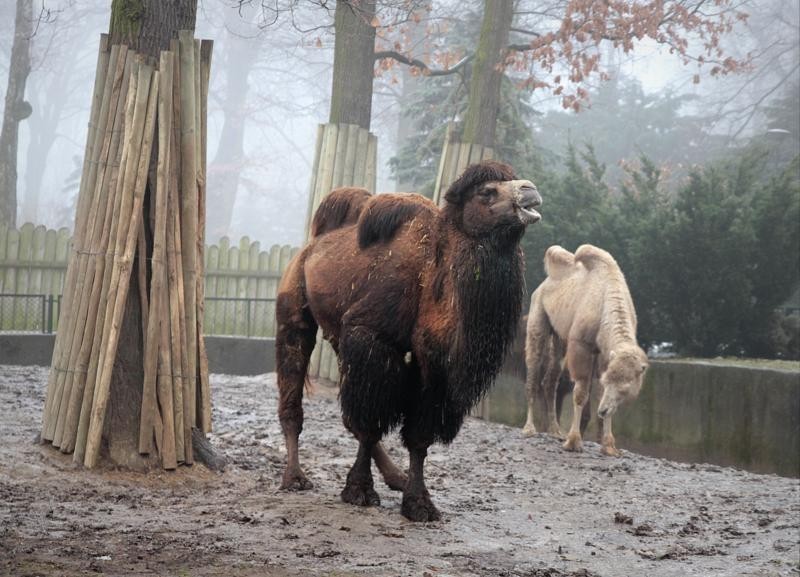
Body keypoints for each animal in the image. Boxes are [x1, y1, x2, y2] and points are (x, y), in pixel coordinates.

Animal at [276, 160, 544, 520]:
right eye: (487, 192)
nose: (530, 191)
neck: (432, 280)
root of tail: (312, 245)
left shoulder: (435, 369)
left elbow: (418, 436)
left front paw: (419, 502)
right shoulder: (370, 337)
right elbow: (370, 422)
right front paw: (359, 491)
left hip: (337, 333)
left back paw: (396, 477)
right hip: (295, 303)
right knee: (296, 382)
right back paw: (294, 477)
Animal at [520, 243, 648, 454]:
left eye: (625, 388)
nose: (603, 410)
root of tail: (543, 285)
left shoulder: (605, 354)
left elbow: (598, 393)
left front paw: (609, 446)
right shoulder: (581, 345)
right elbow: (580, 393)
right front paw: (573, 441)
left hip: (561, 339)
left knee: (550, 380)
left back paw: (555, 431)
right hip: (537, 317)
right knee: (533, 368)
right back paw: (529, 428)